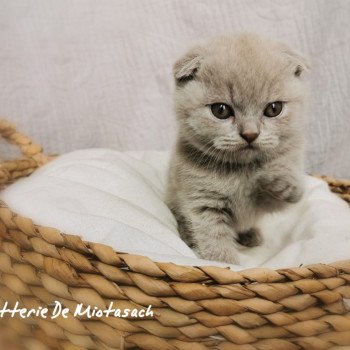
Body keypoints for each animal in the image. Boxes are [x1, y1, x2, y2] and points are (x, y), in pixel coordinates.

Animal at [166, 33, 308, 262]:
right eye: (221, 110)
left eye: (274, 108)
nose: (250, 134)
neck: (242, 172)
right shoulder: (203, 203)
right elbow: (213, 238)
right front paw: (225, 262)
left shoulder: (264, 203)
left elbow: (289, 193)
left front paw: (281, 181)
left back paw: (251, 235)